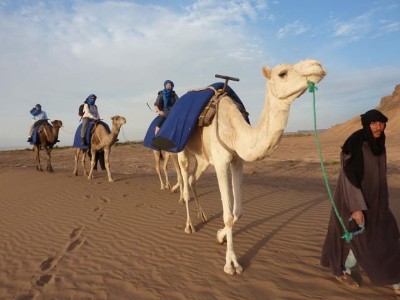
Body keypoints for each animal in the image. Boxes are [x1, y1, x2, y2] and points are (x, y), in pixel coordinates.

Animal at [177, 58, 326, 274]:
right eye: (282, 73)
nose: (317, 65)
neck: (236, 132)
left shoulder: (238, 161)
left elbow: (238, 211)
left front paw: (220, 235)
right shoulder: (221, 162)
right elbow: (228, 215)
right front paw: (231, 263)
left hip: (203, 158)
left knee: (191, 179)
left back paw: (202, 215)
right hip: (182, 150)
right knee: (185, 181)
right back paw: (189, 226)